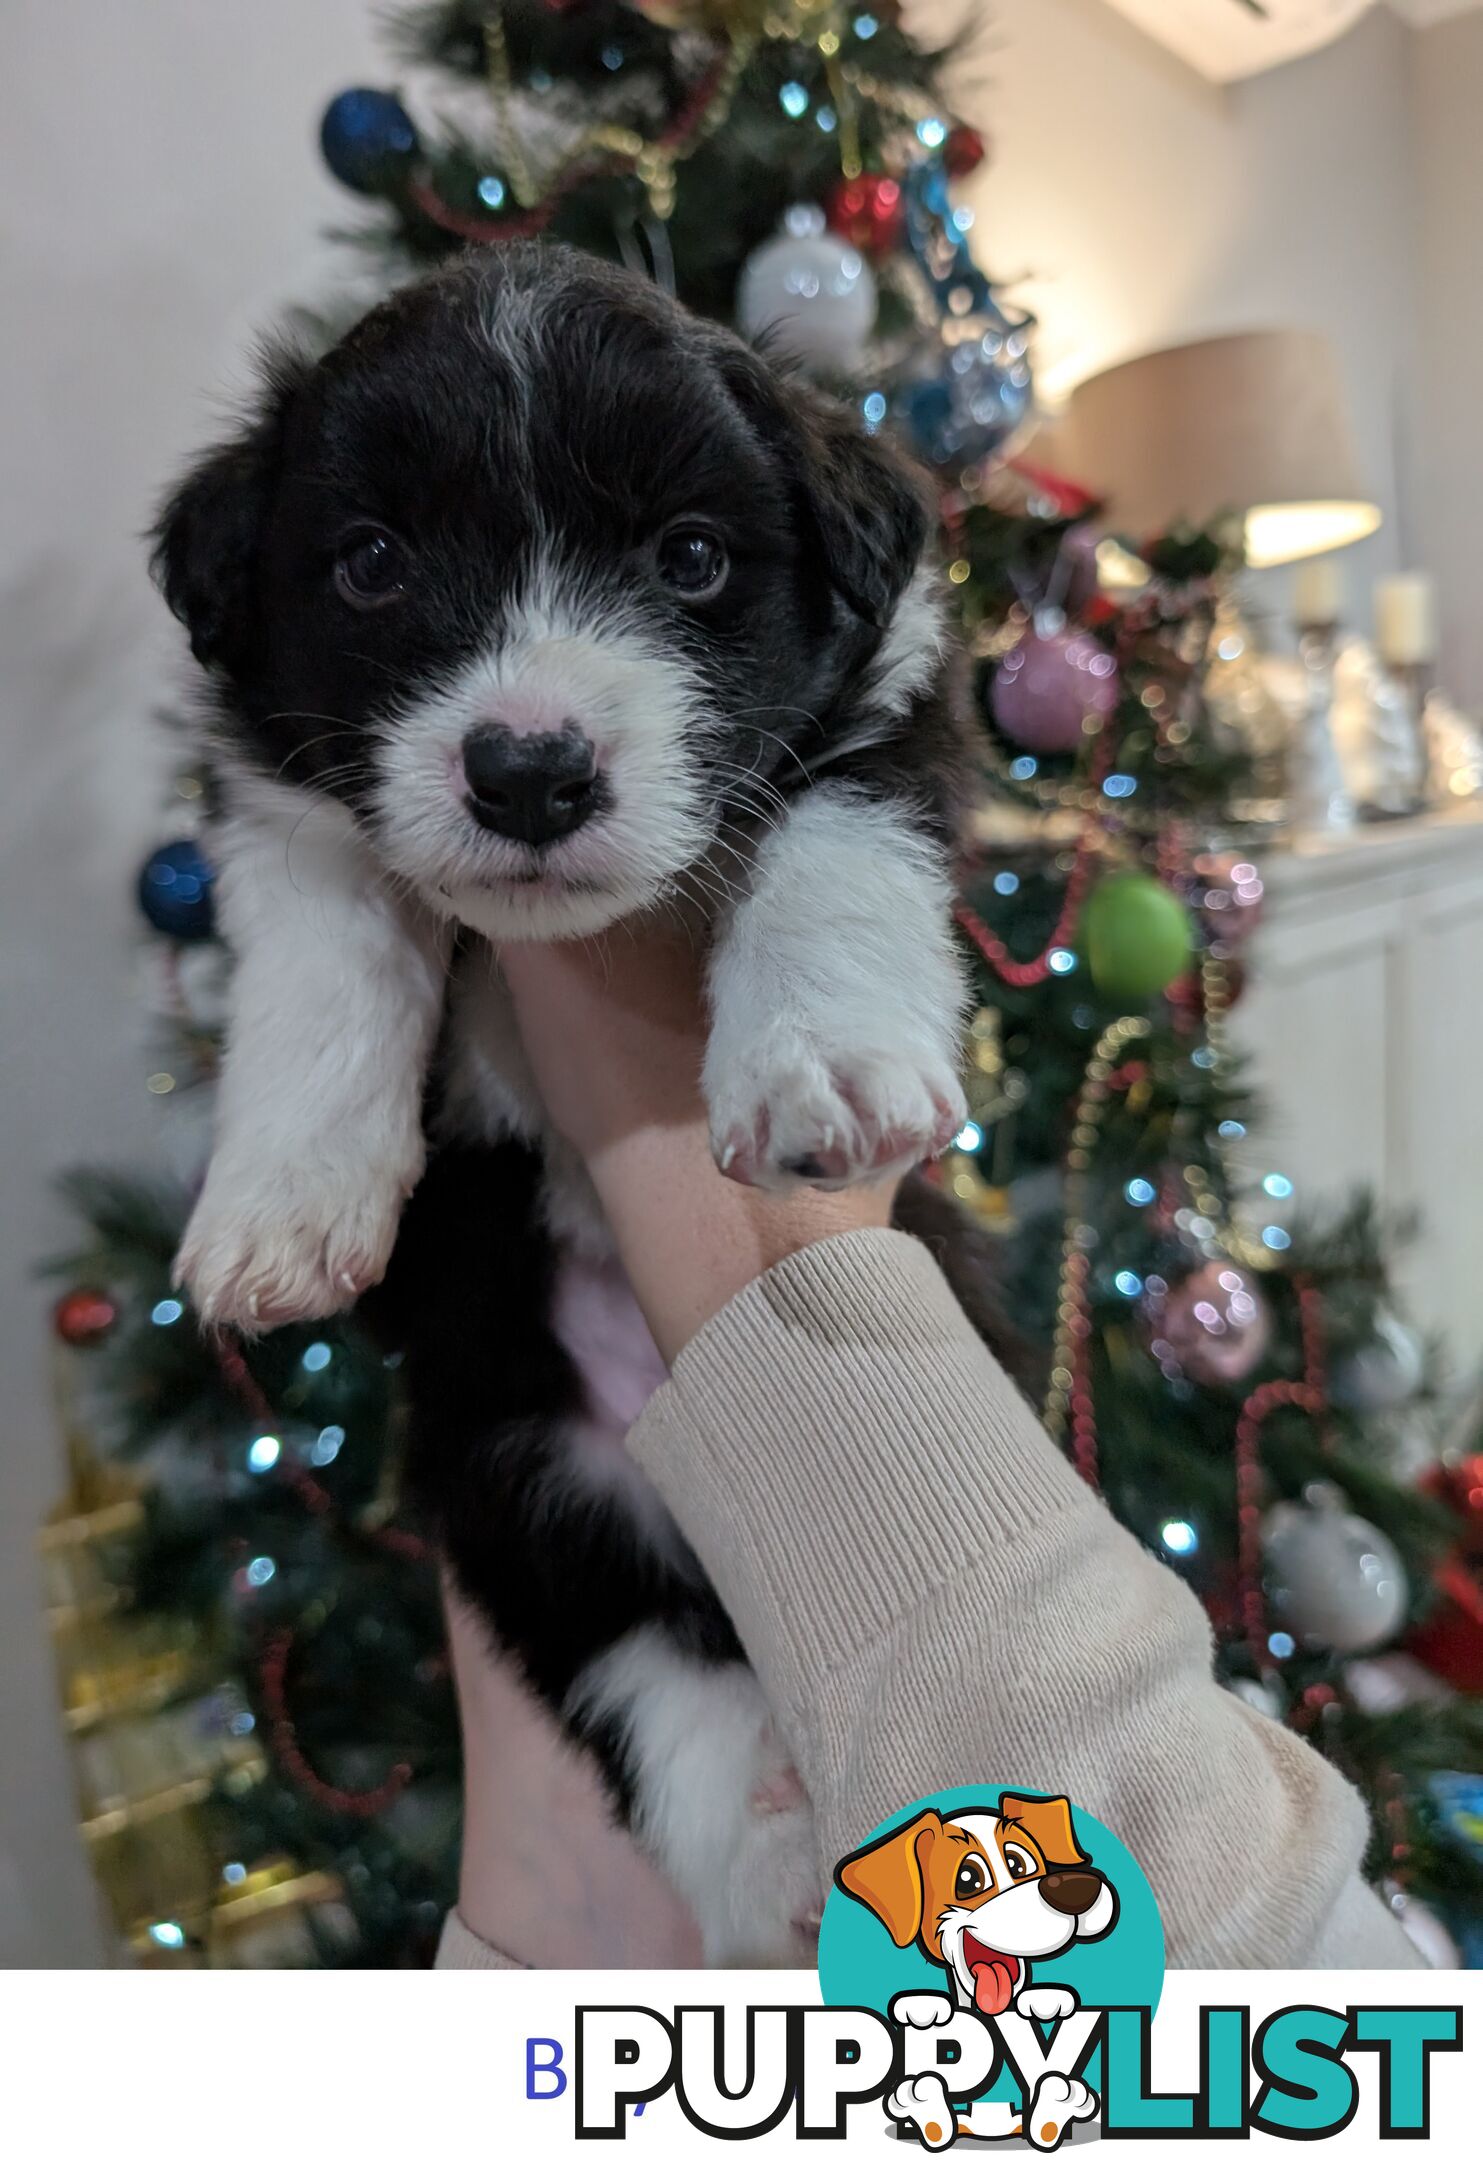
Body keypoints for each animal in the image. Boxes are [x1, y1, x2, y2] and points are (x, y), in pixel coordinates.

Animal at [151, 245, 984, 1969]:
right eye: (373, 562)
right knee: (635, 1671)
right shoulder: (289, 801)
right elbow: (323, 972)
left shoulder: (891, 705)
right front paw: (278, 1209)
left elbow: (835, 845)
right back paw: (772, 1866)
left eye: (689, 558)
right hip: (514, 1465)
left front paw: (820, 1062)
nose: (527, 771)